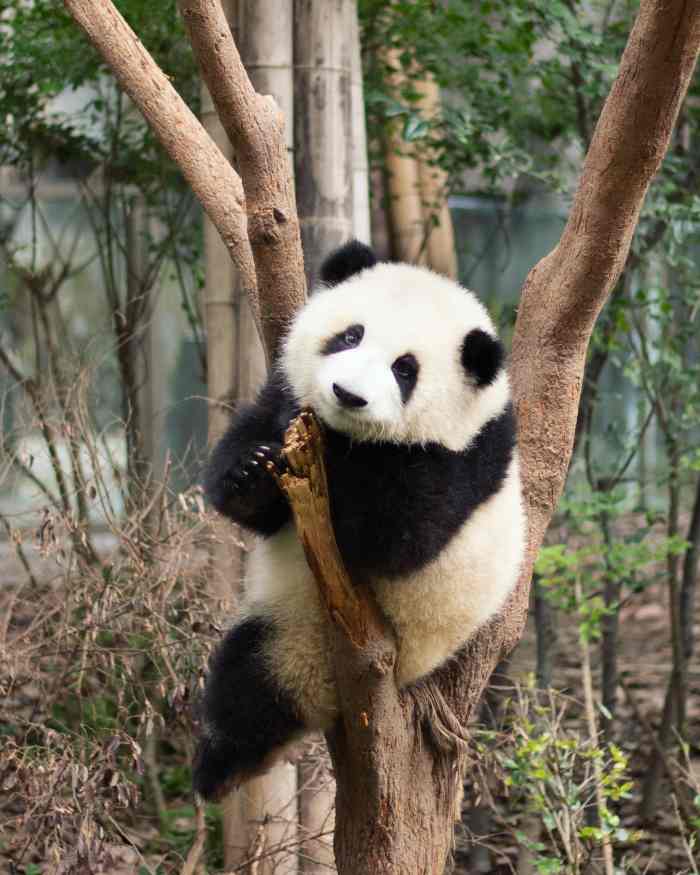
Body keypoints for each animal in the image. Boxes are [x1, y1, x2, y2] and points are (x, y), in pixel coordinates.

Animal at [193, 240, 525, 801]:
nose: (347, 394)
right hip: (284, 625)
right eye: (351, 335)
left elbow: (397, 538)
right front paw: (252, 469)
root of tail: (322, 692)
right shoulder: (284, 391)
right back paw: (220, 769)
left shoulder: (459, 457)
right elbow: (253, 478)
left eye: (405, 369)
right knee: (242, 690)